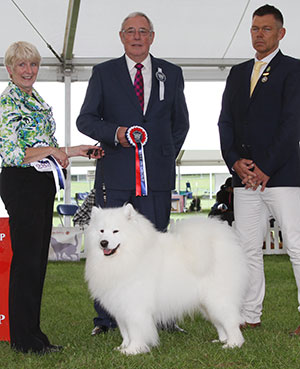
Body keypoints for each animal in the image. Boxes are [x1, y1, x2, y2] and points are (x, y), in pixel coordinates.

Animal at [85, 204, 248, 354]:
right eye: (101, 231)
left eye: (116, 231)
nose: (103, 242)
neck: (129, 256)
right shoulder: (120, 305)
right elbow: (125, 332)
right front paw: (123, 347)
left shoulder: (135, 307)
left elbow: (135, 331)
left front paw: (133, 350)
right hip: (207, 304)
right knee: (220, 323)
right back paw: (222, 340)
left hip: (218, 299)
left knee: (231, 322)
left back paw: (233, 344)